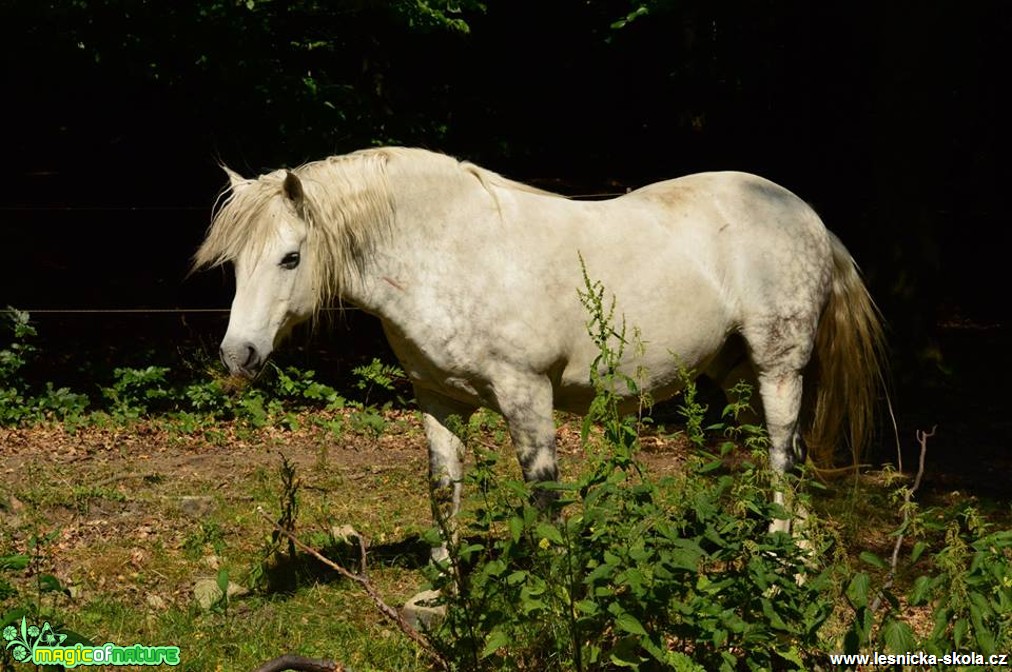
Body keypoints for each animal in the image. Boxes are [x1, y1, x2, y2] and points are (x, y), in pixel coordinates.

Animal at [195, 146, 886, 546]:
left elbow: (544, 496)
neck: (447, 250)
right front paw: (447, 599)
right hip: (738, 375)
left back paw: (782, 563)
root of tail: (809, 217)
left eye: (290, 258)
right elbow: (443, 492)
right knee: (780, 455)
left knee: (782, 457)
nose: (238, 355)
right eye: (232, 264)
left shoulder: (526, 396)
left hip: (779, 368)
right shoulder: (438, 399)